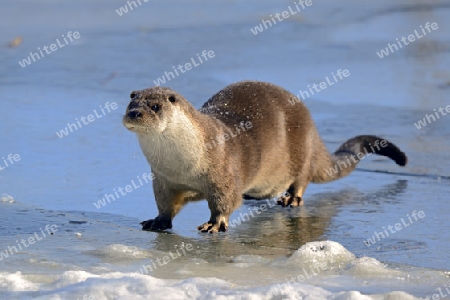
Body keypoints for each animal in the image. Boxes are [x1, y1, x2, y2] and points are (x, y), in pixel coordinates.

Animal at [123, 81, 408, 233]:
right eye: (131, 104)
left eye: (155, 106)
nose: (135, 114)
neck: (183, 165)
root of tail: (313, 128)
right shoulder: (162, 179)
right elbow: (165, 203)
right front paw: (158, 220)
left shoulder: (222, 173)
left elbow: (224, 202)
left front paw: (214, 224)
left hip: (302, 147)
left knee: (302, 178)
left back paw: (291, 198)